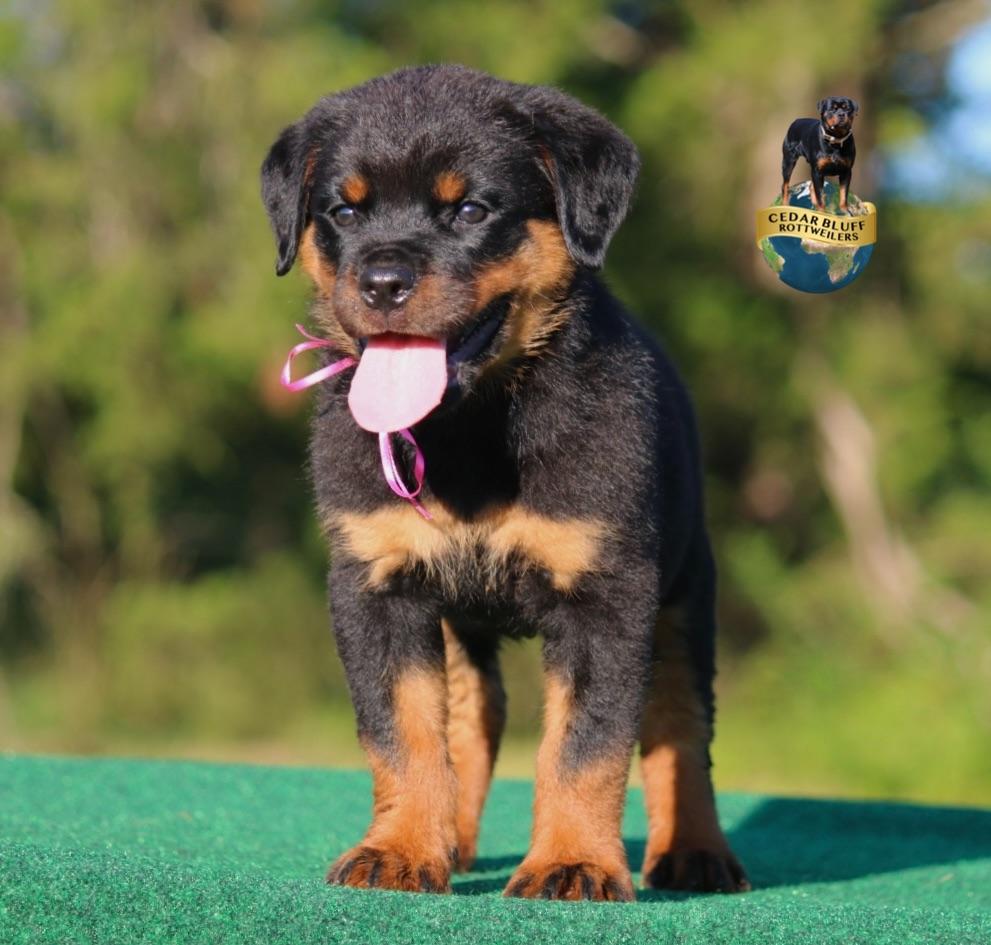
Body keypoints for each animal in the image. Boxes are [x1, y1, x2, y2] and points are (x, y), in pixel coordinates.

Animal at [261, 65, 749, 901]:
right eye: (343, 212)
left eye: (469, 210)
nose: (381, 280)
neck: (469, 429)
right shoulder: (377, 586)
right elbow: (402, 732)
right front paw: (398, 849)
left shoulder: (608, 594)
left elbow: (586, 743)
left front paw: (572, 863)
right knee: (471, 713)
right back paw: (448, 837)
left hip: (686, 588)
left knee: (680, 723)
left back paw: (694, 852)